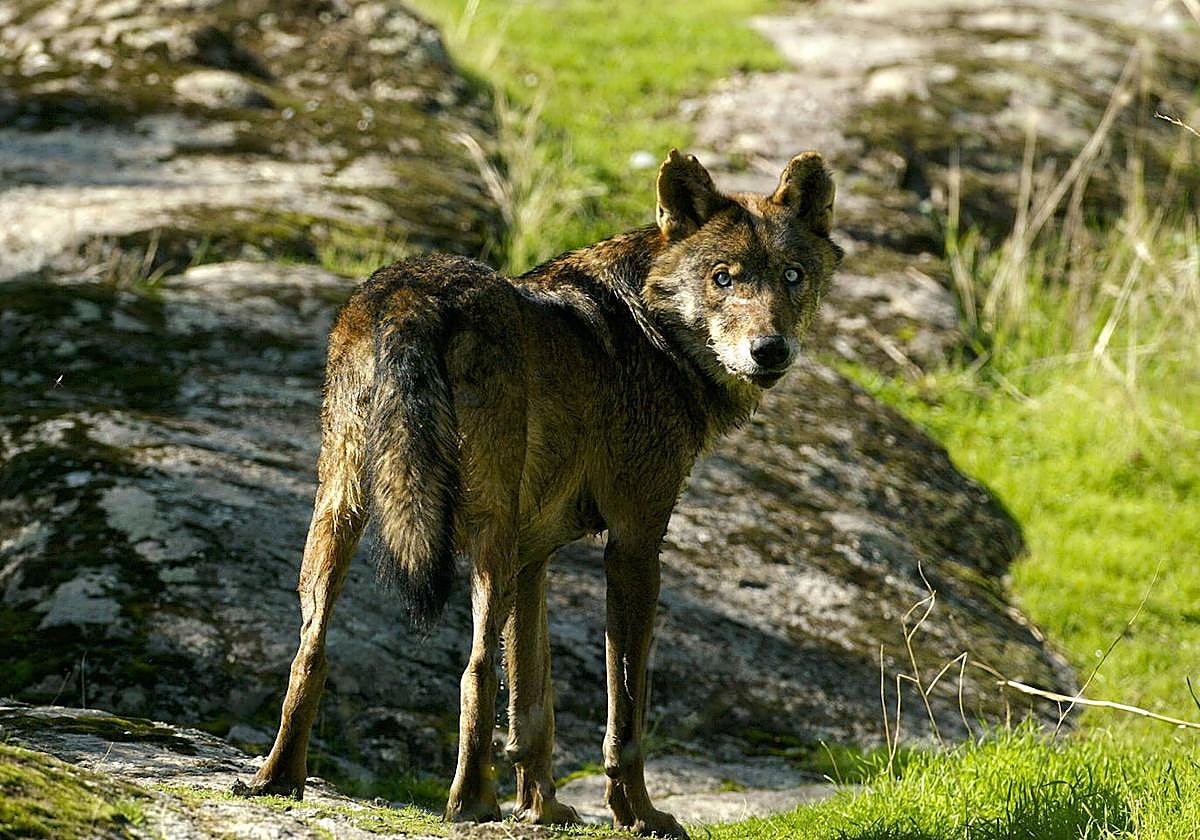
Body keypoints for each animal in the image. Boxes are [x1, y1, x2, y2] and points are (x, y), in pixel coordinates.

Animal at [234, 150, 842, 839]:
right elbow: (624, 711)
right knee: (474, 668)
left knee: (310, 651)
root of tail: (412, 292)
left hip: (342, 513)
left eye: (791, 276)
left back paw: (278, 780)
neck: (652, 330)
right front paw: (638, 814)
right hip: (485, 536)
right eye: (724, 278)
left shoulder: (534, 559)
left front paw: (541, 808)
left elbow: (532, 708)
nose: (770, 350)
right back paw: (470, 805)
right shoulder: (634, 546)